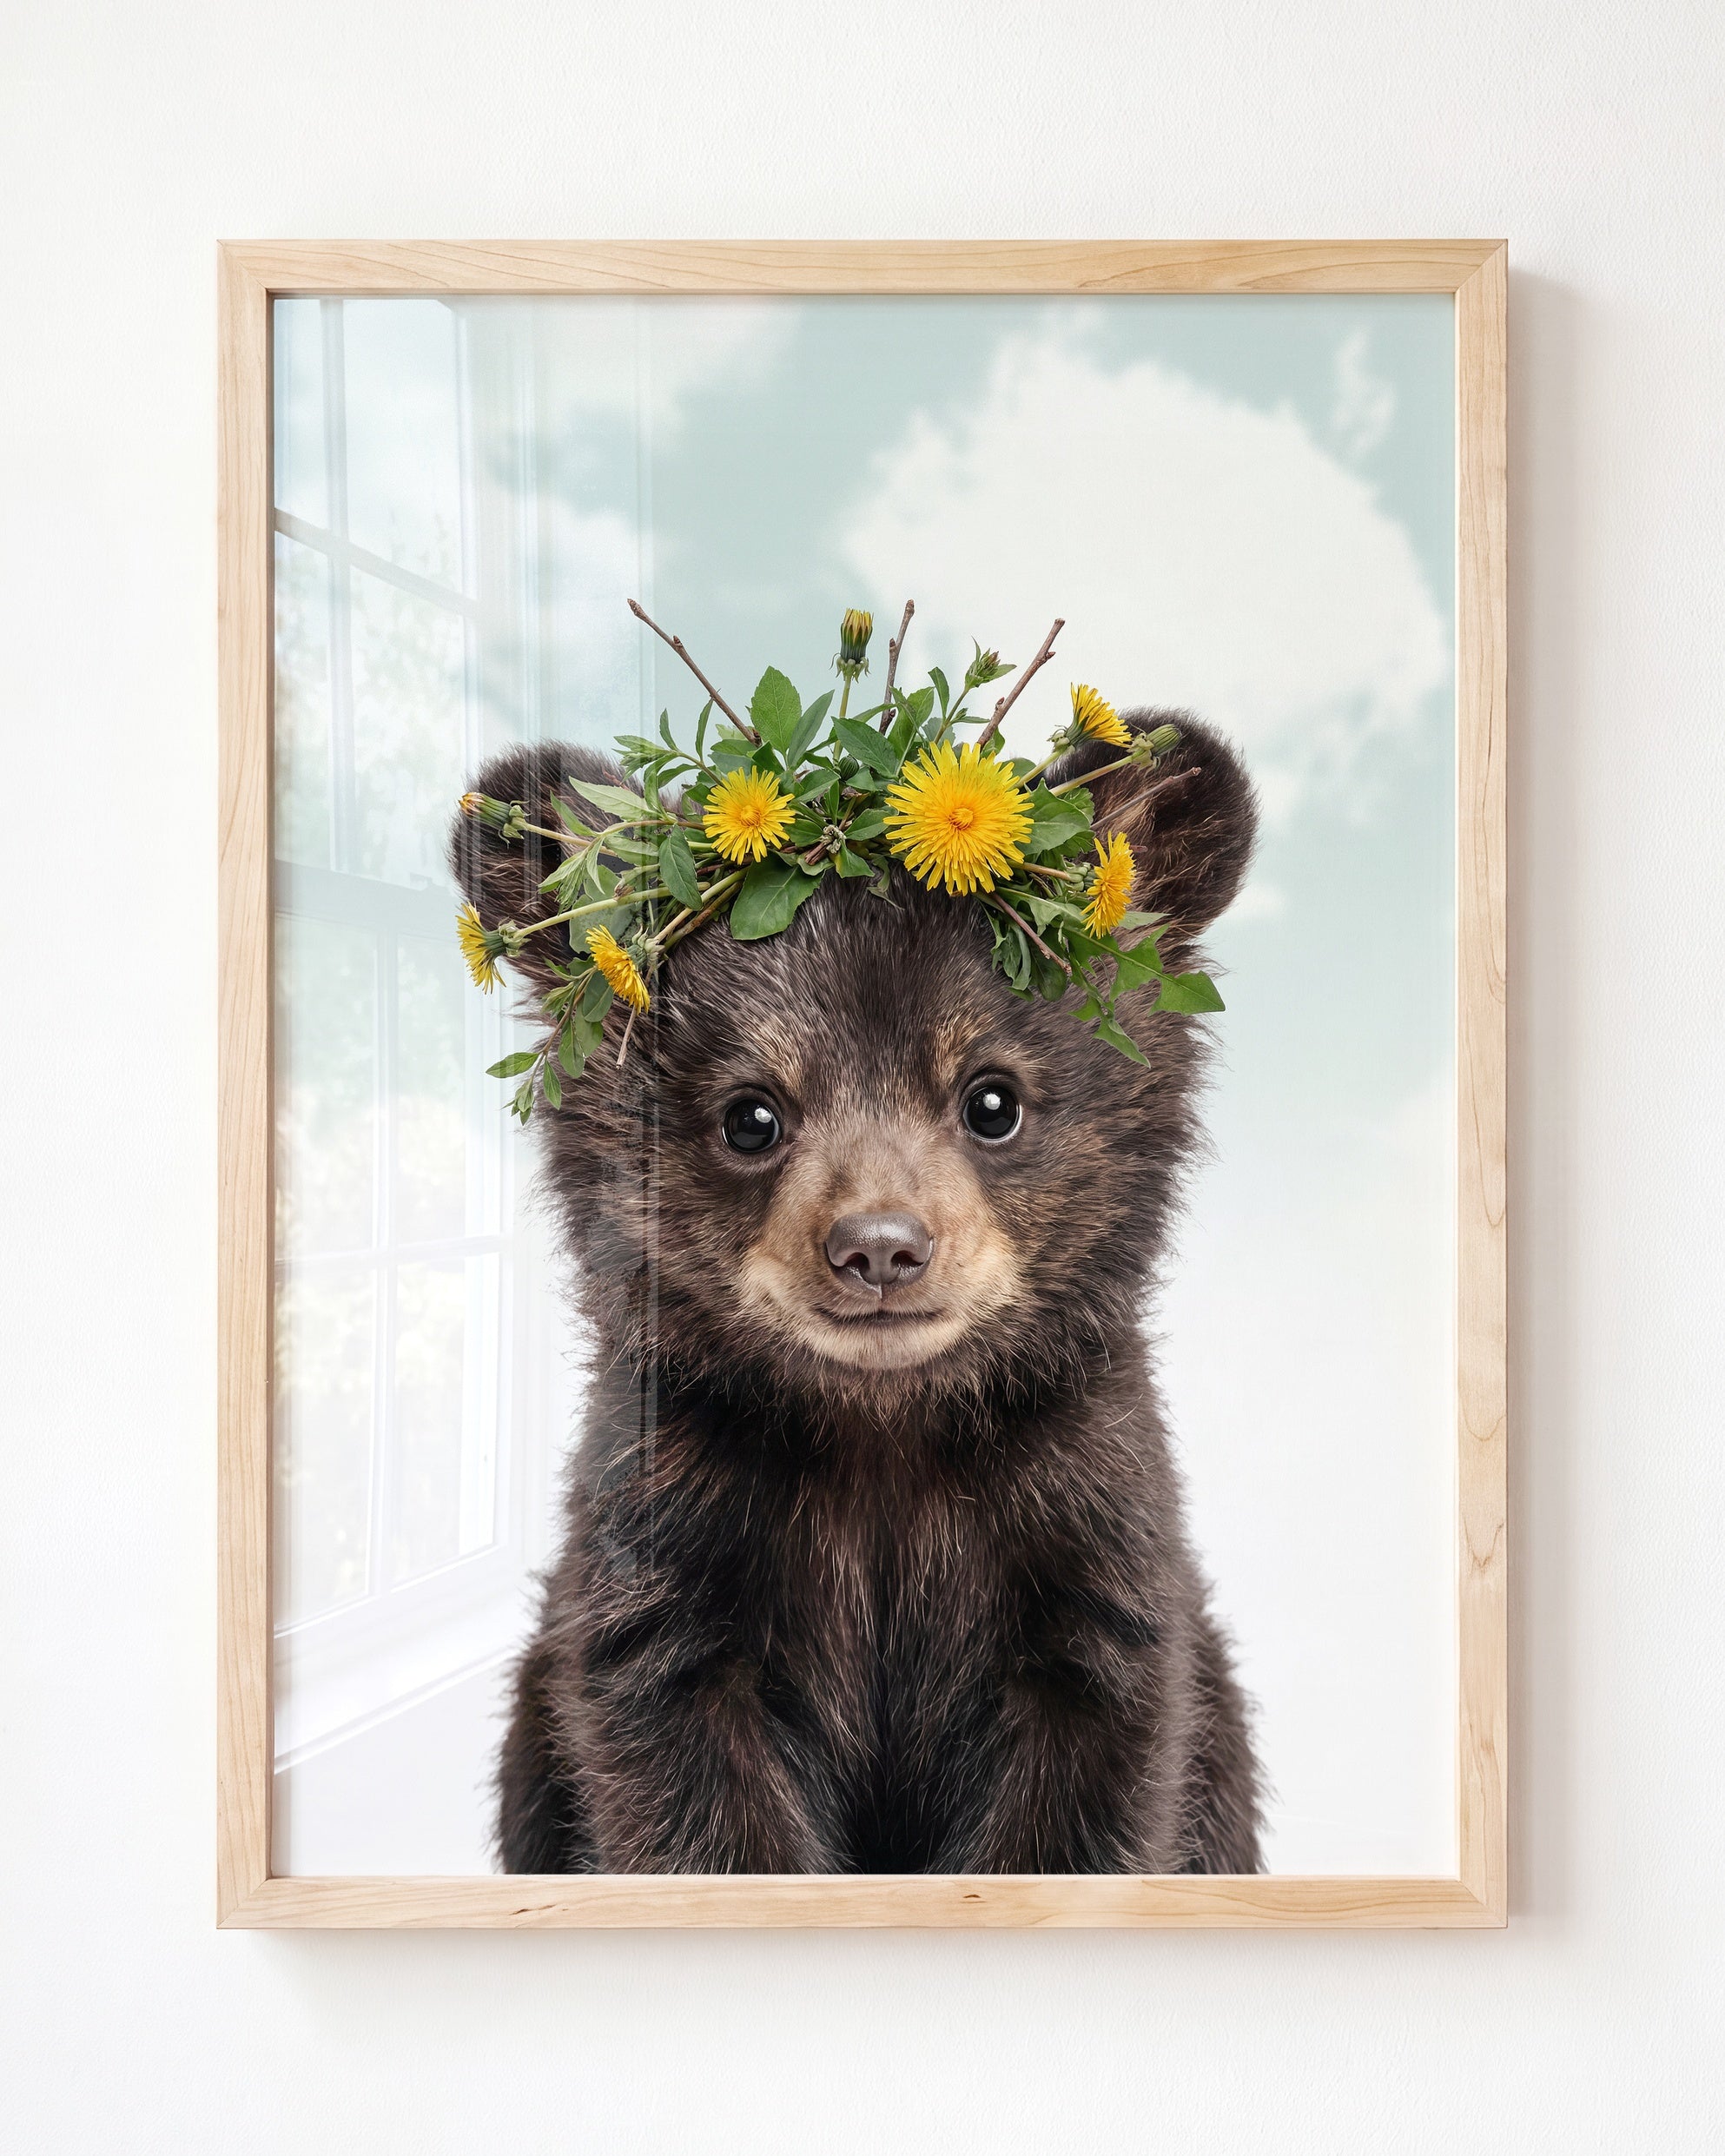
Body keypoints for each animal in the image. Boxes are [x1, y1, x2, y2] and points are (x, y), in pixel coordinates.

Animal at [451, 707, 1265, 1874]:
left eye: (993, 1099)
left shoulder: (1084, 1530)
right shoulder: (667, 1539)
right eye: (751, 1114)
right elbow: (688, 1790)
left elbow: (1086, 1789)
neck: (882, 1433)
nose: (879, 1249)